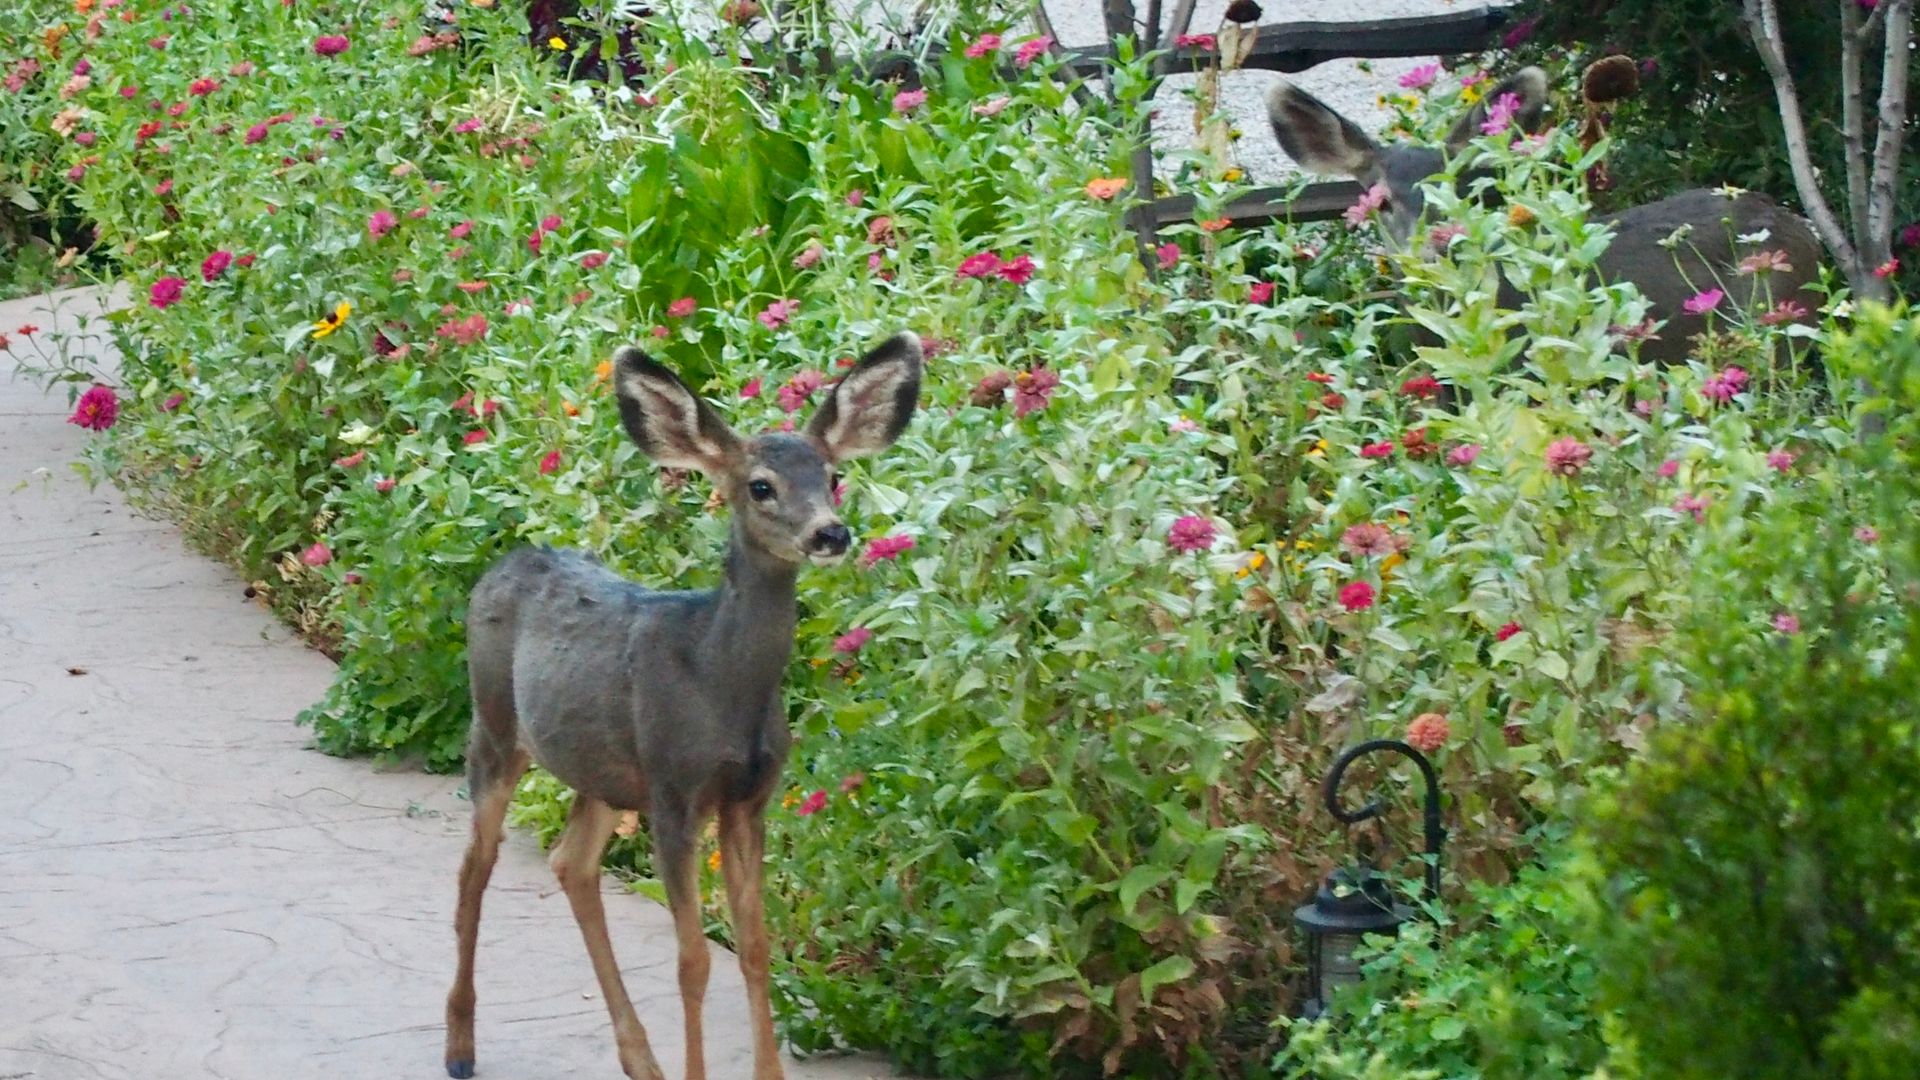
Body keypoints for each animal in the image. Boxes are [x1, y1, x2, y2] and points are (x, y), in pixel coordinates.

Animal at [443, 332, 923, 1080]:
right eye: (761, 485)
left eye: (833, 477)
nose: (830, 533)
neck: (720, 683)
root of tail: (505, 561)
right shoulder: (675, 790)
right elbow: (693, 960)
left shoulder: (748, 797)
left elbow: (754, 947)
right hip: (494, 722)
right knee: (475, 864)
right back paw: (460, 1047)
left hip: (602, 771)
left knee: (571, 863)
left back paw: (640, 1060)